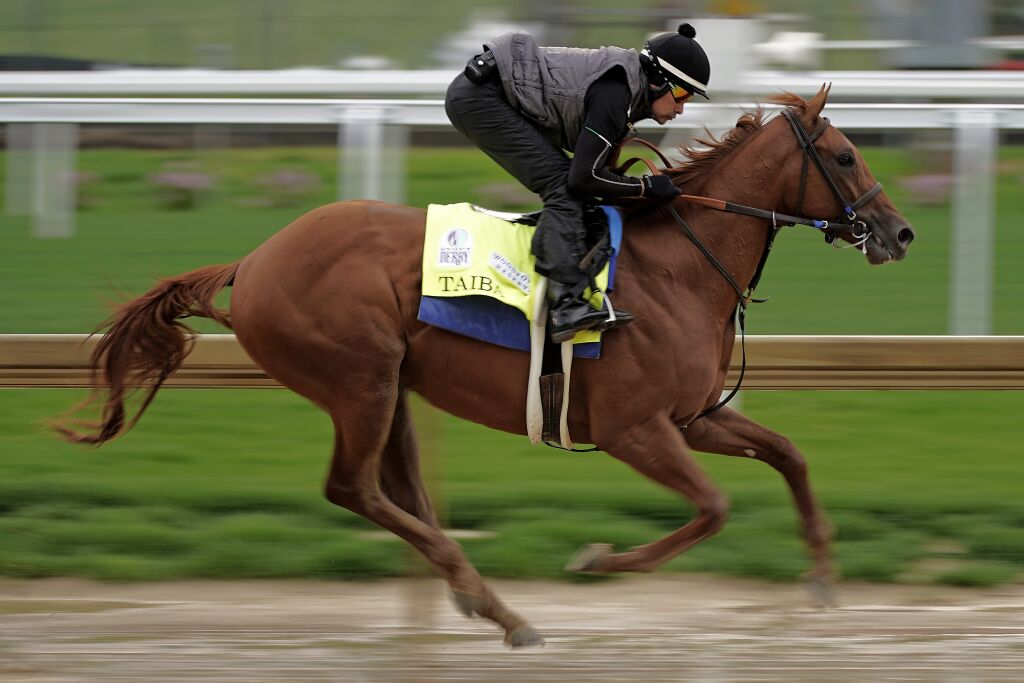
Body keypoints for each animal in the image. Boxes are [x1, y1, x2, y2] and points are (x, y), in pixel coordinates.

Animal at [61, 88, 913, 651]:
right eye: (845, 155)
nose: (899, 231)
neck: (680, 265)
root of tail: (255, 260)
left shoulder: (694, 414)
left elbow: (789, 455)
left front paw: (823, 573)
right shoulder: (637, 429)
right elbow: (713, 508)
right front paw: (599, 559)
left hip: (390, 386)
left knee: (398, 490)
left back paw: (475, 595)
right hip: (359, 377)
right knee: (353, 487)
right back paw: (498, 606)